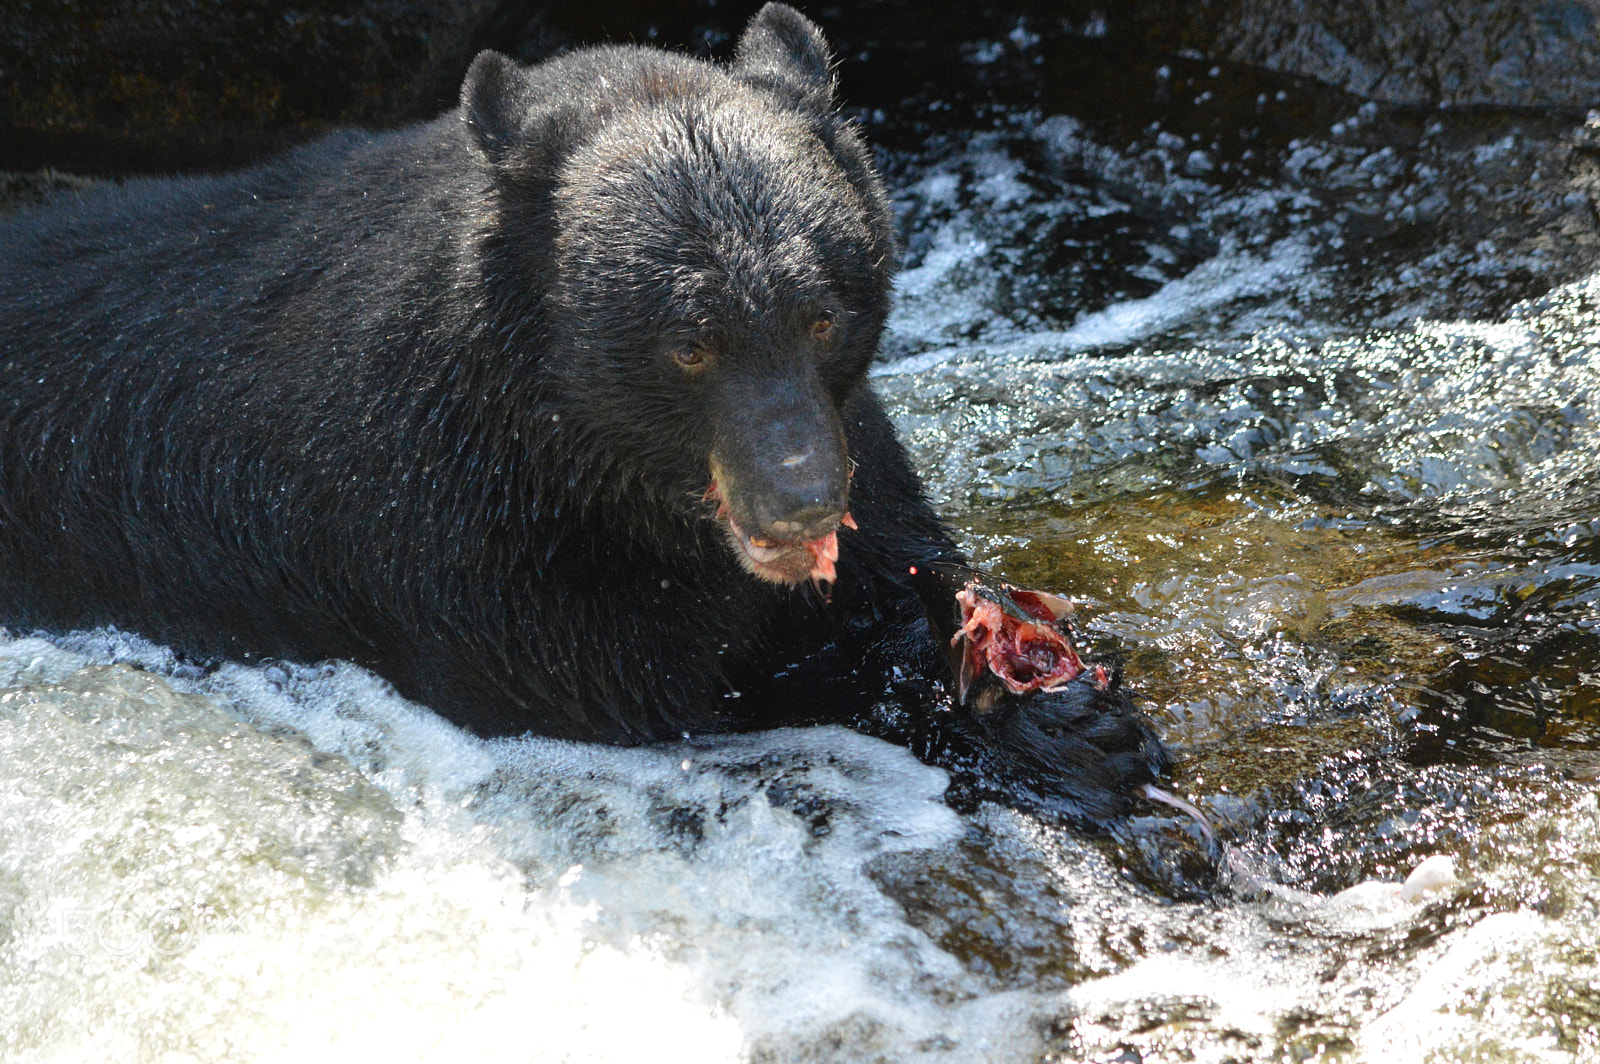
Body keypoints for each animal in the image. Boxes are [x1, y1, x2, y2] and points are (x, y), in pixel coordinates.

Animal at [0, 4, 1166, 823]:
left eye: (822, 312)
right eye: (689, 340)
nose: (796, 500)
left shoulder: (859, 444)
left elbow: (889, 566)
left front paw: (1056, 704)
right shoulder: (467, 546)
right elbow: (647, 700)